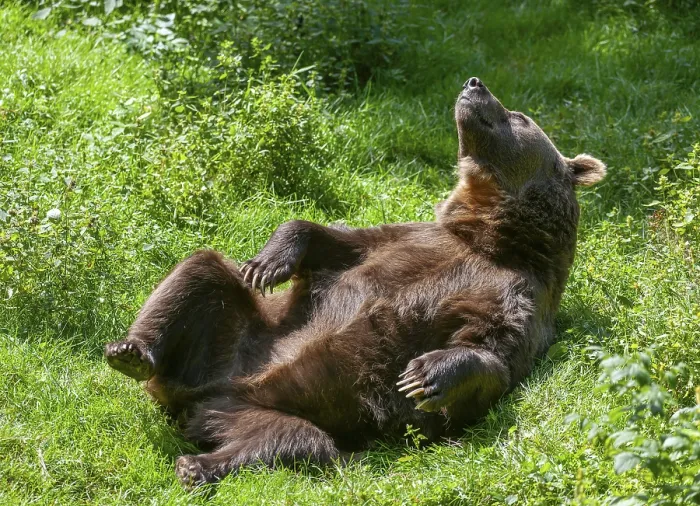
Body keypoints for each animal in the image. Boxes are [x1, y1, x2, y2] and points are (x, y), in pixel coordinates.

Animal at [104, 76, 606, 486]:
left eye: (519, 117)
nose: (474, 83)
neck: (490, 239)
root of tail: (204, 397)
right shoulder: (408, 237)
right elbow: (329, 238)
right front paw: (269, 263)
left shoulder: (517, 296)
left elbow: (491, 354)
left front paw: (424, 376)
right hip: (232, 337)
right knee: (201, 273)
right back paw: (131, 352)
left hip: (265, 412)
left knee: (290, 443)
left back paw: (197, 465)